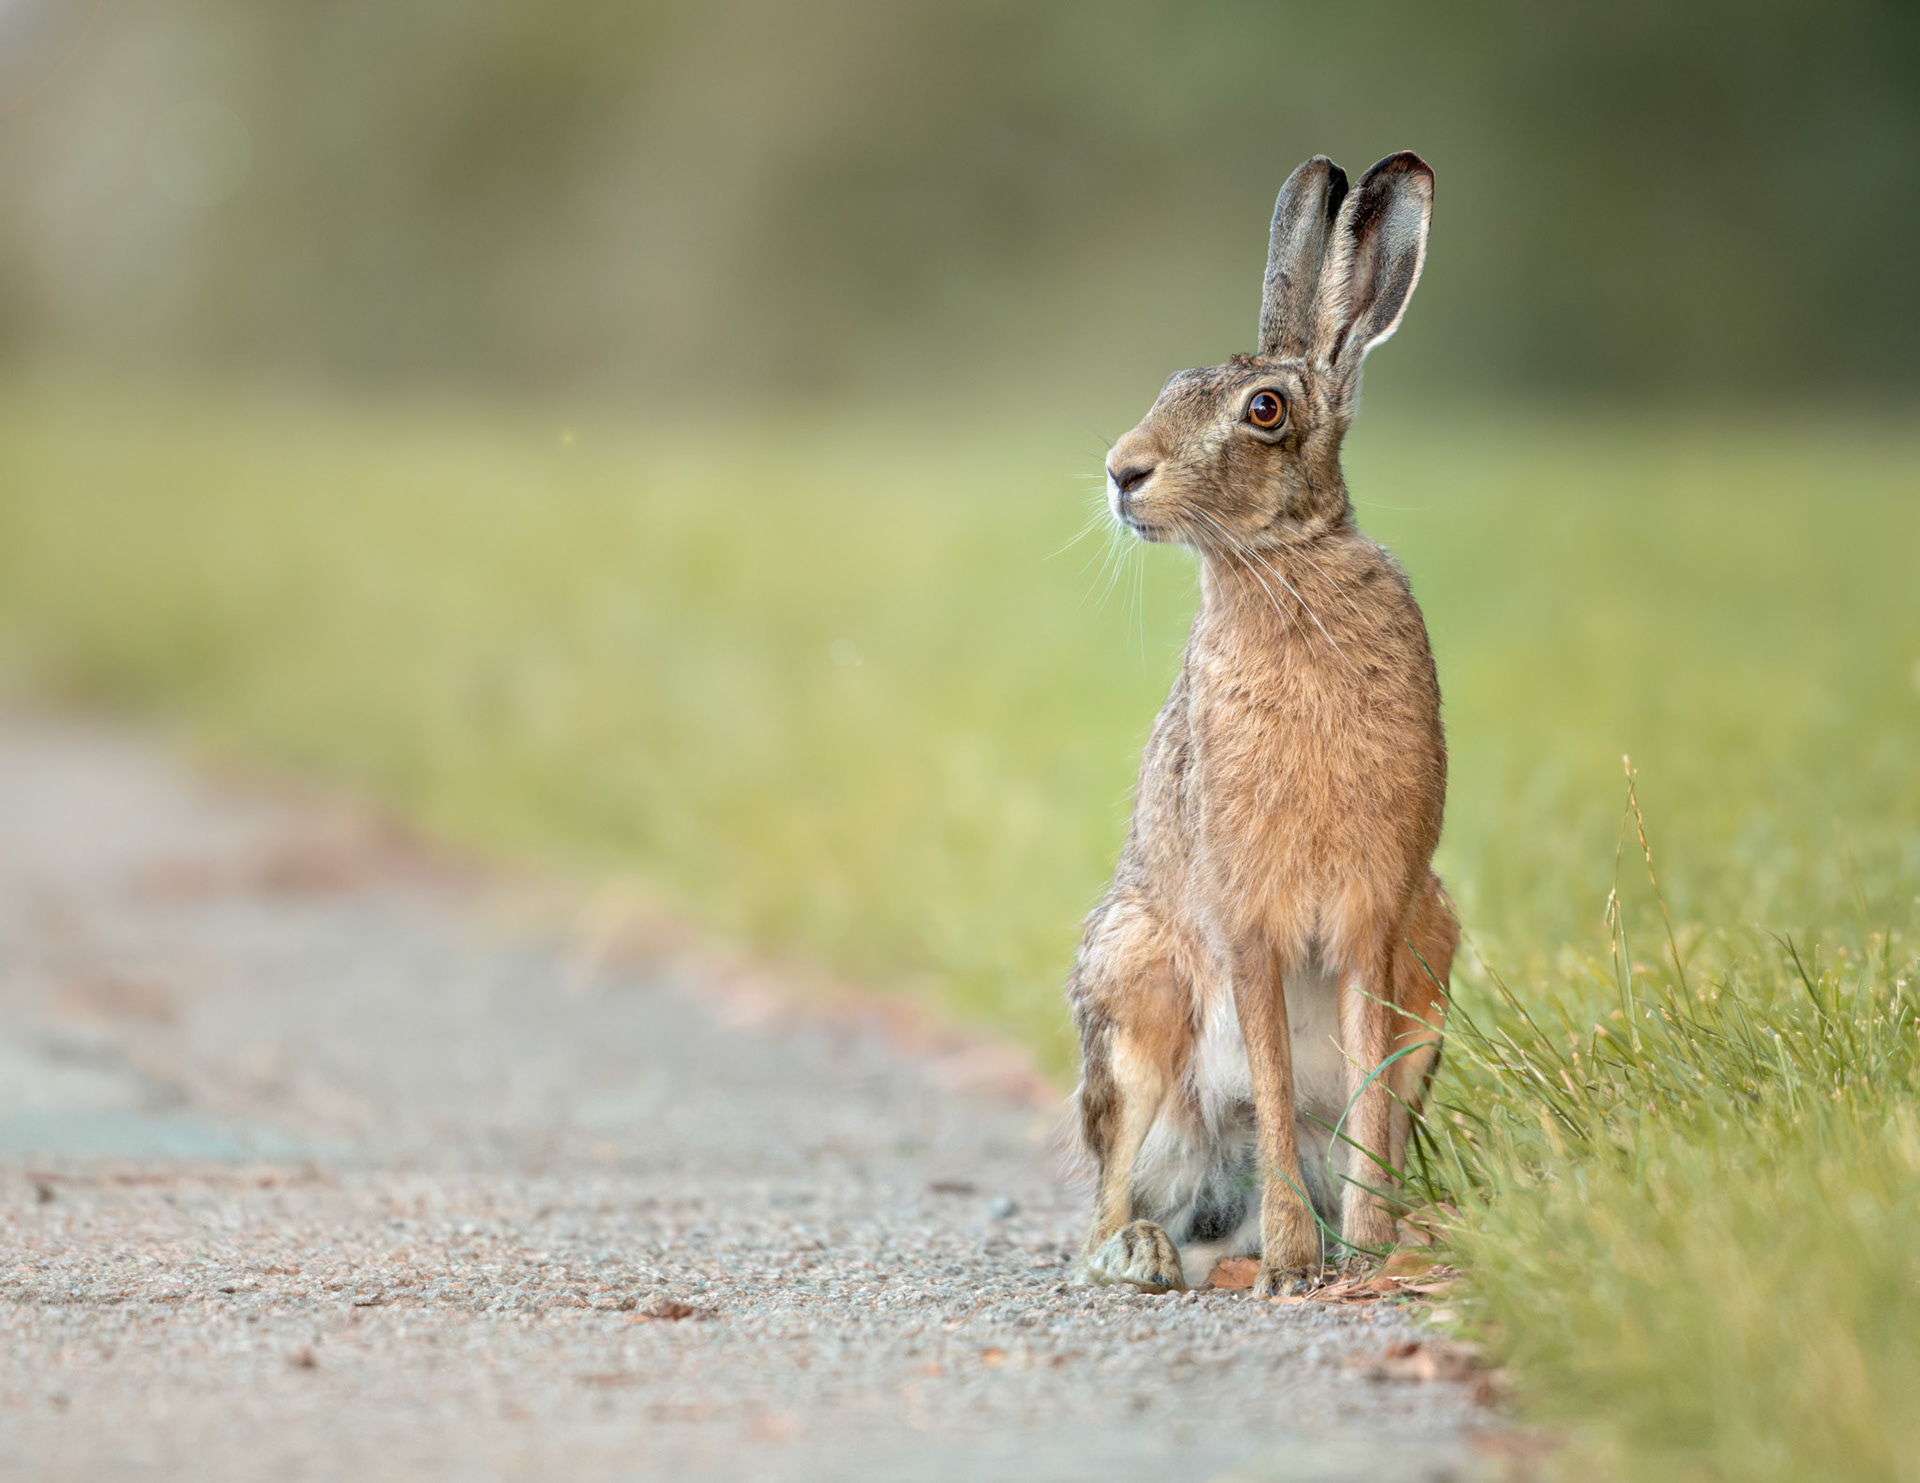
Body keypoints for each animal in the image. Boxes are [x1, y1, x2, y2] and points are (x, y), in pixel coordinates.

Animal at [1066, 151, 1457, 1298]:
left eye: (1266, 409)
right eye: (1167, 390)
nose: (1123, 472)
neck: (1282, 564)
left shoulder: (1380, 918)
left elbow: (1361, 1090)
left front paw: (1359, 1250)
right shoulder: (1249, 924)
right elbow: (1276, 1087)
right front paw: (1295, 1262)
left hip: (1438, 947)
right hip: (1136, 994)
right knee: (1103, 1210)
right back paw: (1153, 1253)